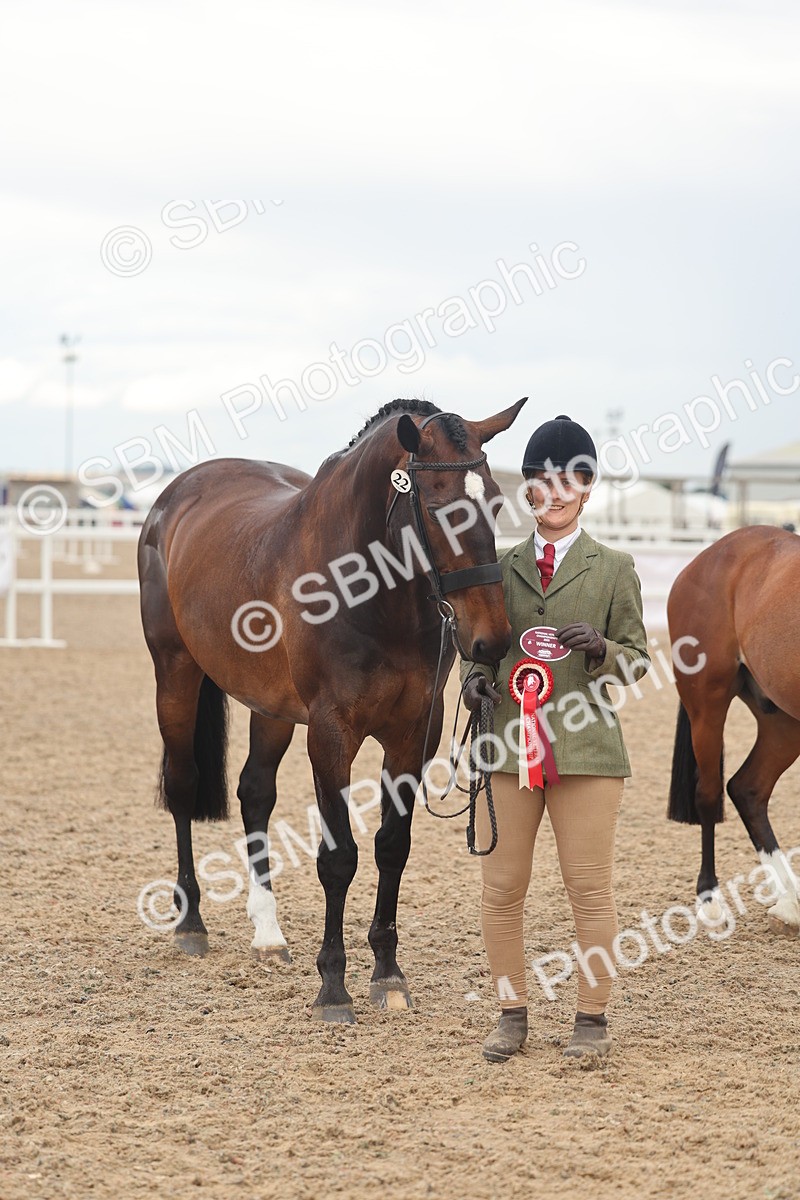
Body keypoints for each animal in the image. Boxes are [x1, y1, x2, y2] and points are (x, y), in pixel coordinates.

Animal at [138, 395, 526, 1023]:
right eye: (438, 507)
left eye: (494, 502)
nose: (491, 641)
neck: (369, 593)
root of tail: (176, 494)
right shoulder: (330, 734)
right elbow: (338, 857)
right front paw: (334, 986)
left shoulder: (413, 733)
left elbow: (393, 847)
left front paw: (388, 975)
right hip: (175, 672)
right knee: (183, 782)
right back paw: (191, 923)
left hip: (271, 708)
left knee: (255, 794)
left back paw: (268, 935)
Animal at [667, 525, 800, 936]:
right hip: (707, 706)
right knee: (710, 794)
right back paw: (710, 901)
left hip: (783, 721)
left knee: (748, 789)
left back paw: (790, 902)